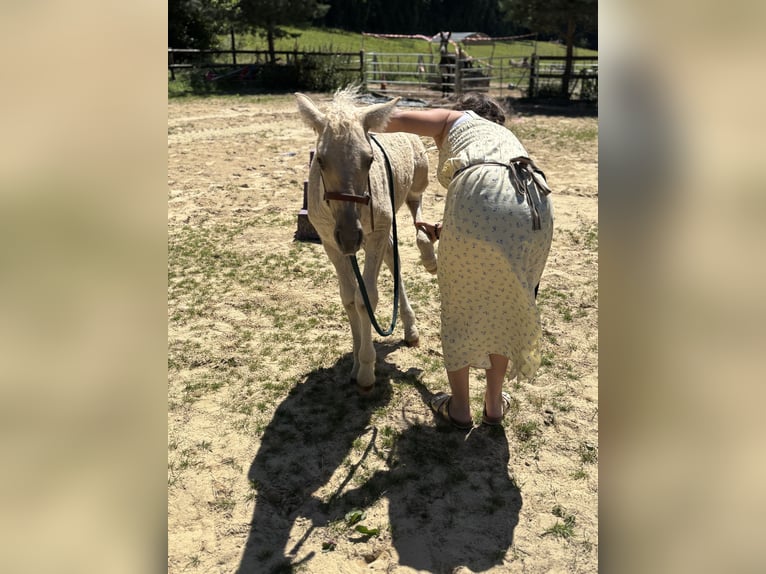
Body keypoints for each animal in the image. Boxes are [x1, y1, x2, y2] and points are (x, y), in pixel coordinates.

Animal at [295, 88, 436, 391]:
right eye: (320, 160)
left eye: (370, 159)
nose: (350, 236)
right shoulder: (331, 243)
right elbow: (349, 298)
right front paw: (356, 361)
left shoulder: (375, 234)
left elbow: (366, 299)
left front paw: (367, 370)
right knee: (393, 258)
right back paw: (410, 327)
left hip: (415, 184)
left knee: (417, 214)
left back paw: (429, 259)